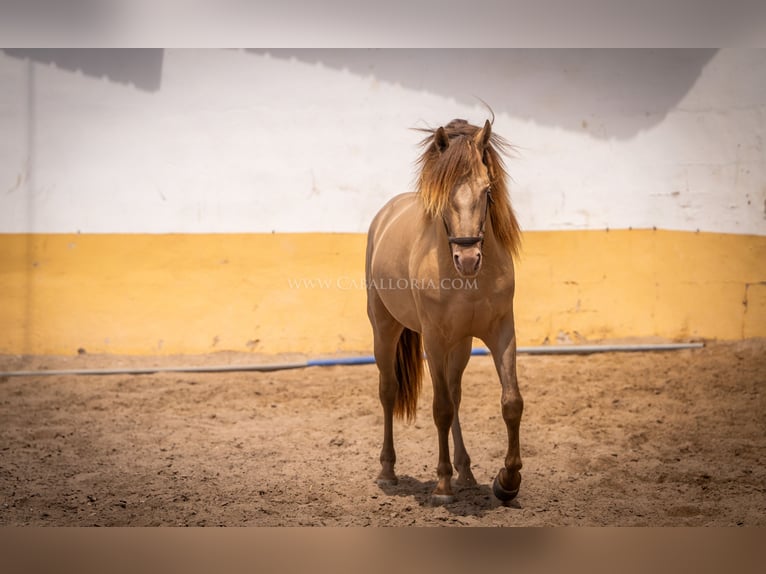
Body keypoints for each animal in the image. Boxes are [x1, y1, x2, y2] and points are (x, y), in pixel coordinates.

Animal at [364, 119, 520, 506]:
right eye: (443, 194)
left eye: (487, 190)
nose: (468, 259)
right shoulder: (433, 341)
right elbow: (440, 409)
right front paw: (442, 486)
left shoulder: (502, 332)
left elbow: (511, 402)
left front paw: (507, 481)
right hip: (385, 329)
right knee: (389, 390)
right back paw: (388, 471)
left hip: (460, 345)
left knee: (454, 391)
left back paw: (466, 472)